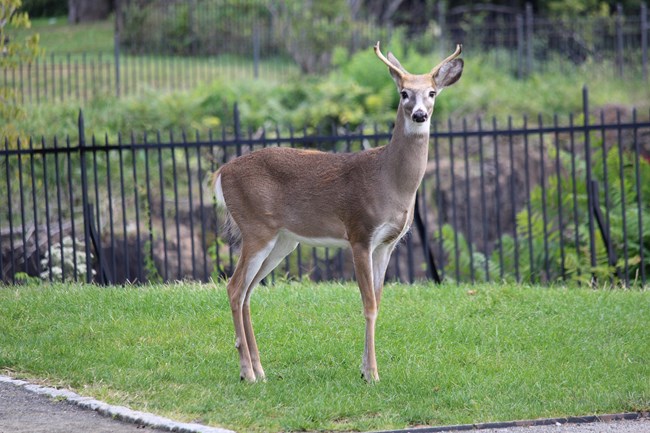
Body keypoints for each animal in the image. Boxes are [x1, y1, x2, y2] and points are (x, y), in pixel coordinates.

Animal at [213, 41, 460, 382]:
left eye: (433, 92)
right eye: (404, 93)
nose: (420, 115)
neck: (391, 181)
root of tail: (221, 172)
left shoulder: (388, 243)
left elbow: (379, 301)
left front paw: (365, 368)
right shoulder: (360, 232)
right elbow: (369, 304)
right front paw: (372, 374)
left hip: (283, 241)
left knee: (248, 291)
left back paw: (260, 370)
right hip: (255, 228)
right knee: (234, 288)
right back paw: (247, 372)